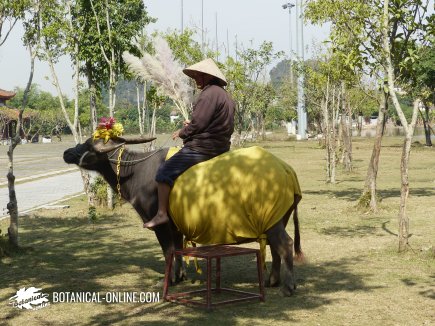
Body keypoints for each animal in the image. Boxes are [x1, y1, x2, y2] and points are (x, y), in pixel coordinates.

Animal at [63, 136, 304, 296]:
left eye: (88, 145)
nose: (66, 153)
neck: (138, 172)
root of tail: (287, 170)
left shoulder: (160, 224)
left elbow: (168, 251)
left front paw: (168, 281)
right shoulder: (177, 226)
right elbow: (178, 249)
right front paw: (180, 276)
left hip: (272, 221)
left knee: (285, 244)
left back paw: (288, 286)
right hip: (276, 219)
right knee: (275, 247)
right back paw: (272, 281)